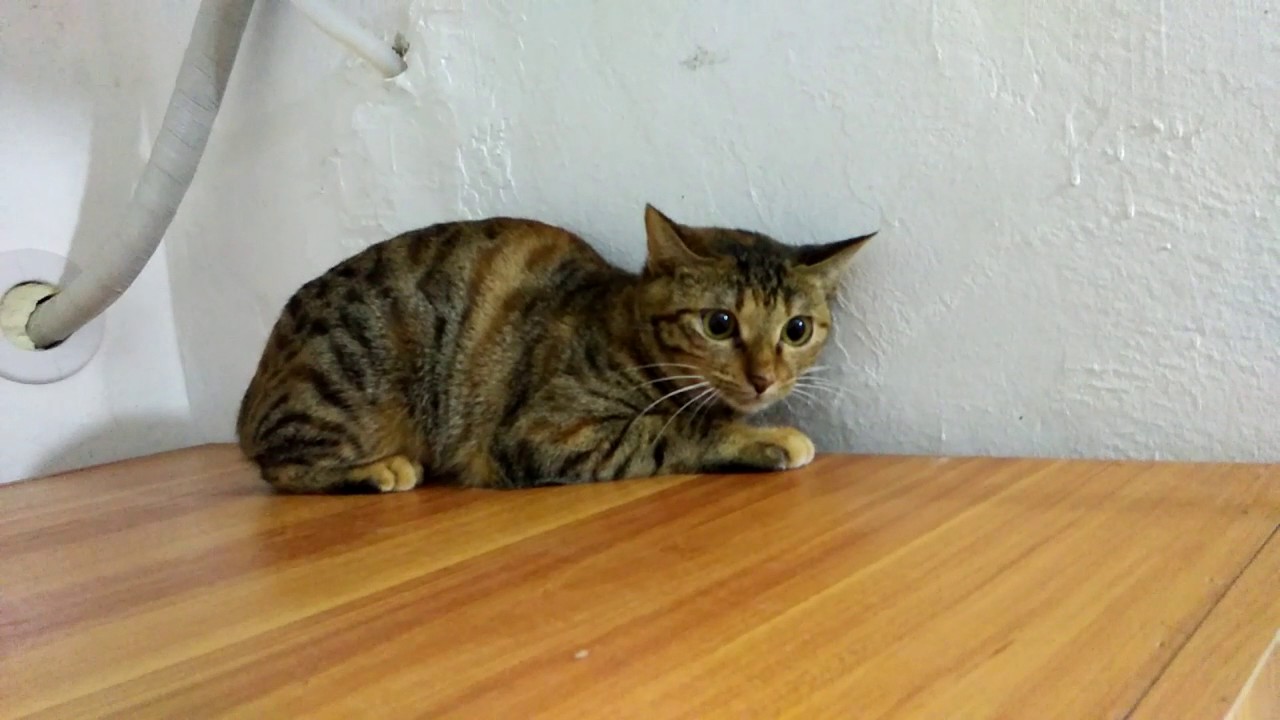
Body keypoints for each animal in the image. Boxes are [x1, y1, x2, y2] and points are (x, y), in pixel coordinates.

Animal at [235, 205, 874, 492]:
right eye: (719, 323)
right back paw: (380, 468)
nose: (764, 378)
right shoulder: (548, 432)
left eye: (797, 329)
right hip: (347, 382)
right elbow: (671, 431)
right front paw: (768, 438)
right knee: (280, 465)